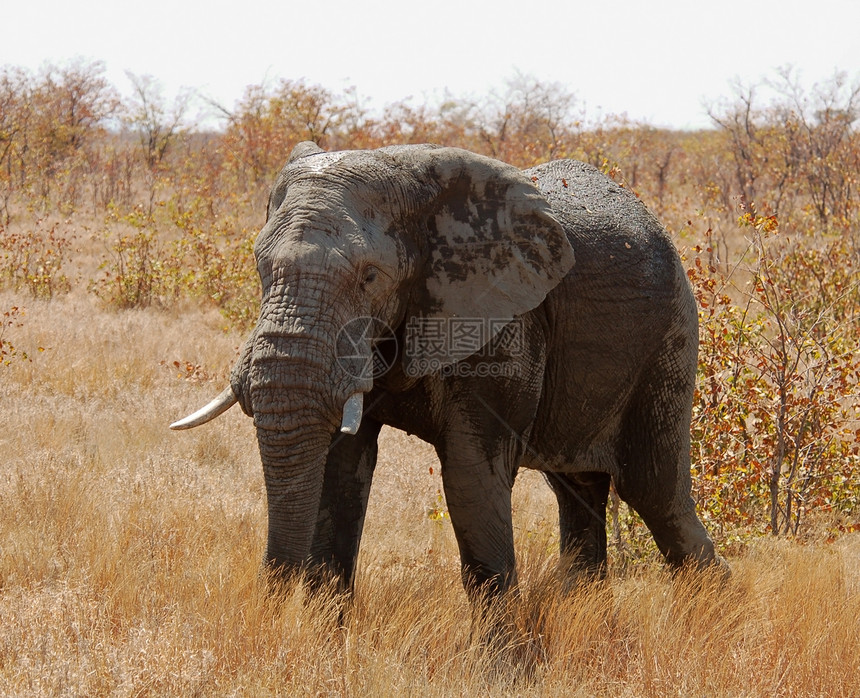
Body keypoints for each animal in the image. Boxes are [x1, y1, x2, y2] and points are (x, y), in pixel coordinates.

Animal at [171, 140, 724, 600]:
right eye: (260, 266)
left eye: (370, 277)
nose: (273, 594)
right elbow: (341, 470)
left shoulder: (503, 321)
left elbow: (470, 479)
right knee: (578, 490)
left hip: (671, 338)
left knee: (656, 494)